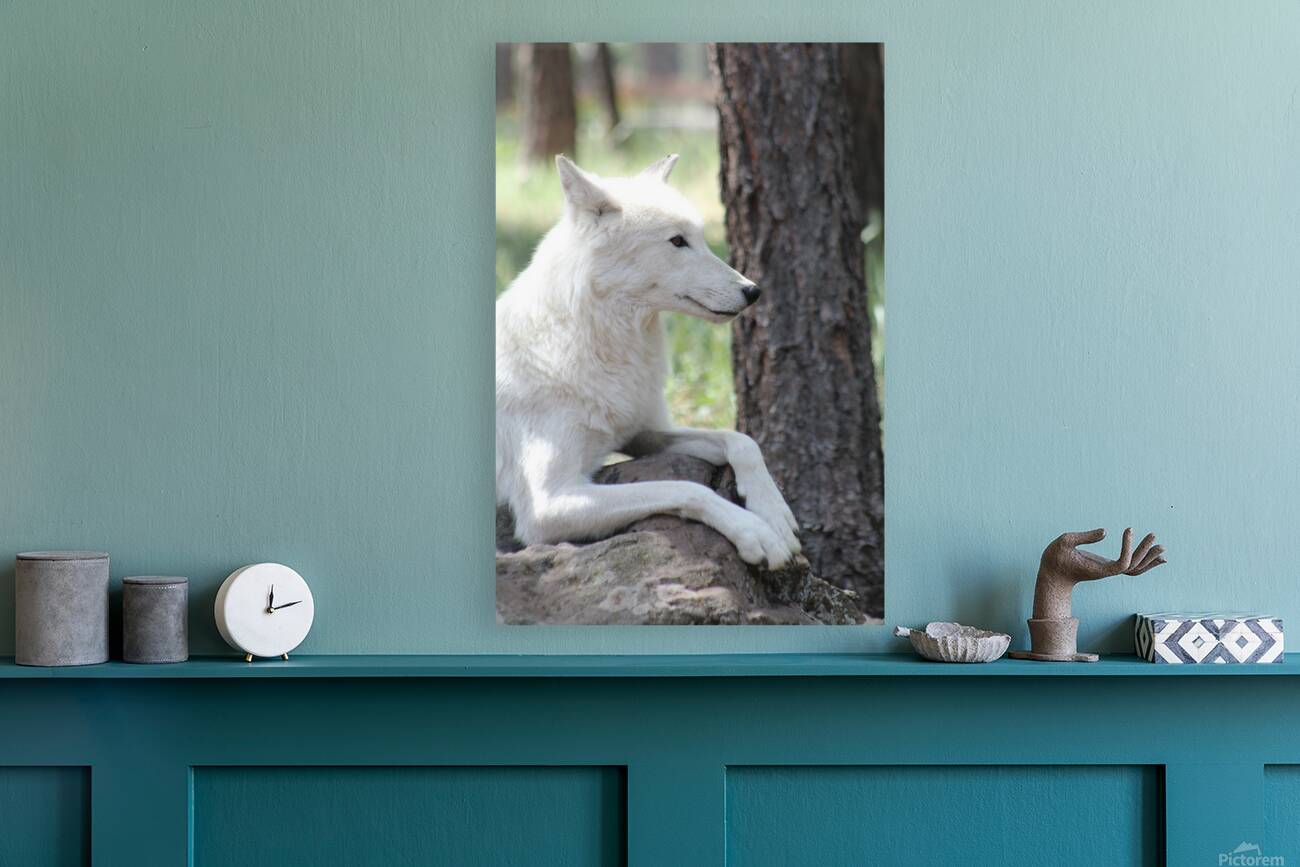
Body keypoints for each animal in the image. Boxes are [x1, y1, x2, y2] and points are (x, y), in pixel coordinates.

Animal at [495, 154, 800, 569]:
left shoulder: (643, 432)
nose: (753, 291)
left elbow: (742, 440)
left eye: (700, 238)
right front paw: (756, 532)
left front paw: (774, 512)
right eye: (678, 241)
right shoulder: (548, 504)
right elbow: (688, 488)